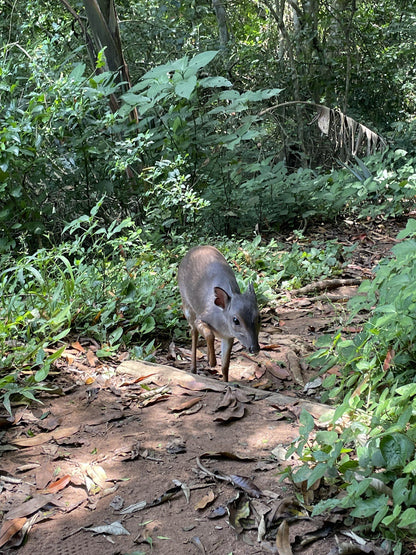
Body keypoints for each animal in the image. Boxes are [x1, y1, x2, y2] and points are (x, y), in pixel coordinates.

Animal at [178, 248, 260, 382]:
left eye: (259, 318)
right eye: (235, 320)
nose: (254, 348)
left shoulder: (228, 336)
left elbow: (225, 365)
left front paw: (226, 382)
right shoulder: (202, 317)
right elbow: (209, 334)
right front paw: (212, 362)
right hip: (187, 305)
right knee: (193, 332)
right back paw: (194, 368)